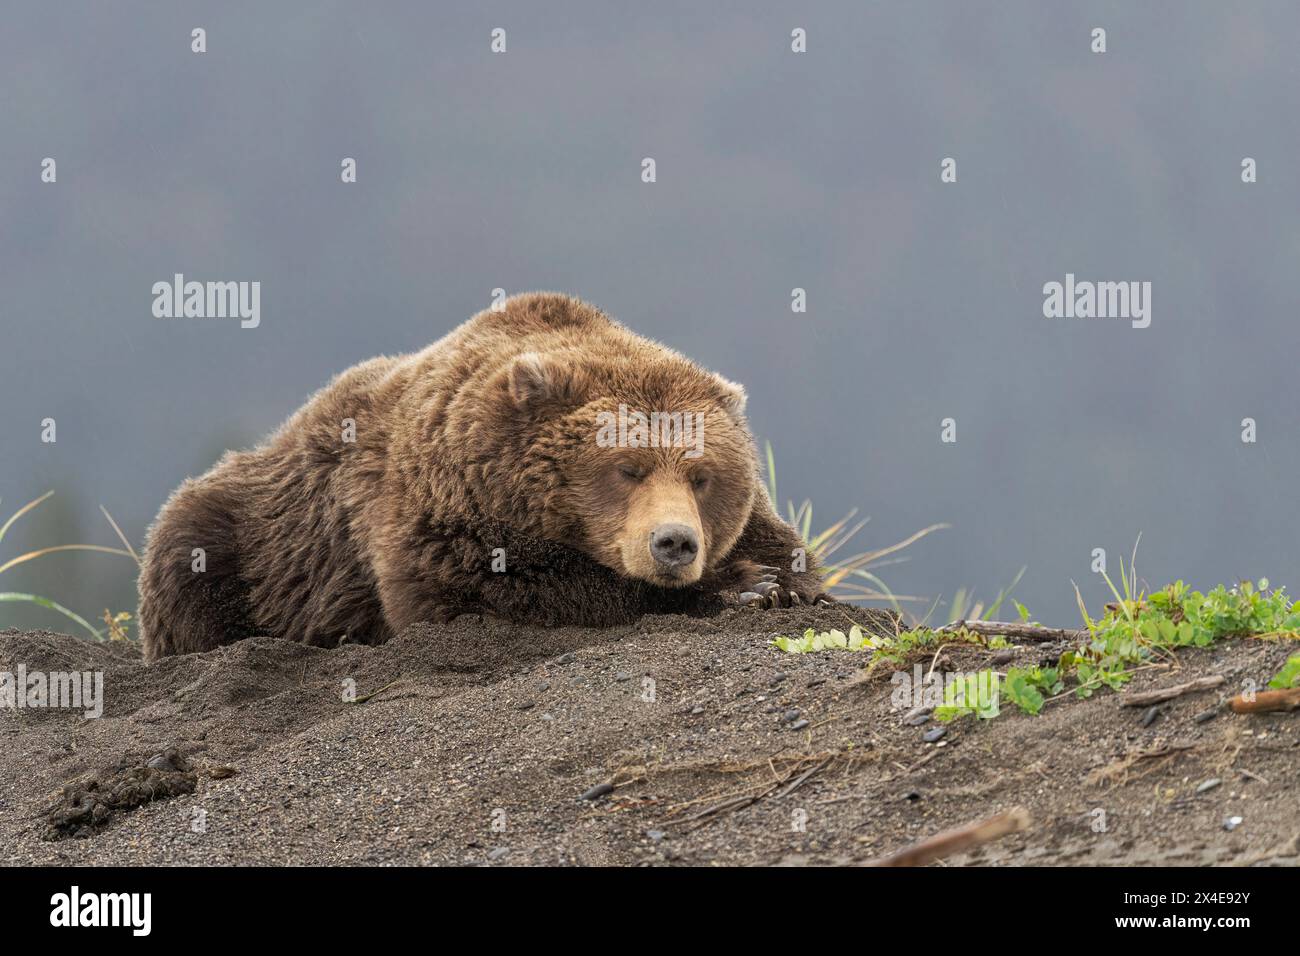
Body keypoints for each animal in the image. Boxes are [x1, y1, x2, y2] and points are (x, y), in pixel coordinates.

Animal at [137, 295, 826, 660]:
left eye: (703, 476)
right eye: (626, 468)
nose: (675, 543)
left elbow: (792, 555)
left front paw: (773, 580)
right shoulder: (435, 514)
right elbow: (485, 591)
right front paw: (743, 585)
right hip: (249, 534)